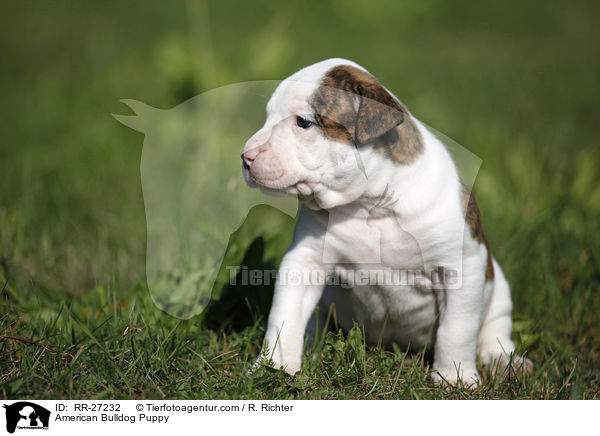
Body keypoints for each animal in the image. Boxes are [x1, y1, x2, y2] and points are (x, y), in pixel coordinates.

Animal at [239, 57, 528, 384]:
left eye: (303, 122)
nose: (246, 157)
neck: (371, 205)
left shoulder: (461, 267)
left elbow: (458, 328)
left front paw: (455, 377)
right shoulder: (304, 262)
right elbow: (284, 315)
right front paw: (272, 366)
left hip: (497, 284)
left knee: (494, 329)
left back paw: (506, 362)